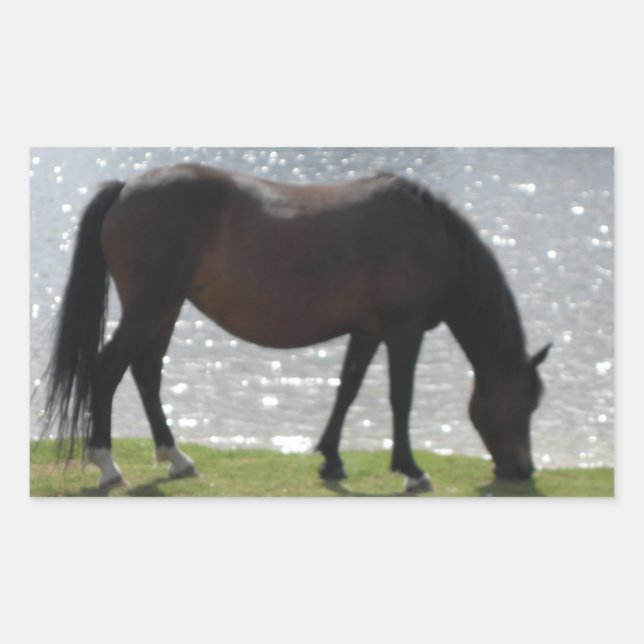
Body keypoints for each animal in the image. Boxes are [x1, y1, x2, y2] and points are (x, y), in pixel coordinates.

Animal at [41, 163, 551, 492]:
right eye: (526, 402)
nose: (523, 471)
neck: (428, 235)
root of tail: (127, 187)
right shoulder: (403, 330)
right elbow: (400, 398)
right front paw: (410, 469)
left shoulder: (367, 331)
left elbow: (347, 390)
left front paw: (332, 459)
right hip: (150, 309)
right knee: (106, 370)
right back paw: (108, 466)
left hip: (165, 311)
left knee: (146, 373)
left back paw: (177, 459)